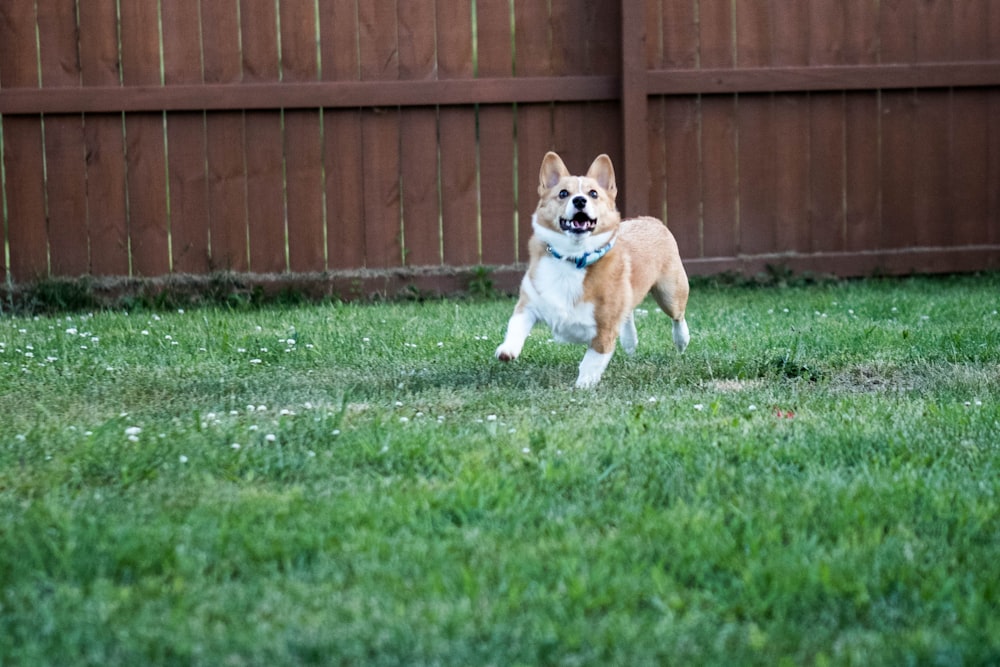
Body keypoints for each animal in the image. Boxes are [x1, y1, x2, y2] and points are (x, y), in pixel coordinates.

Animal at [492, 152, 688, 388]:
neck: (572, 258)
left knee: (678, 316)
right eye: (563, 193)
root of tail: (652, 219)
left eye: (593, 193)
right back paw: (630, 342)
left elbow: (591, 361)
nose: (579, 200)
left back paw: (682, 341)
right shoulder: (529, 303)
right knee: (629, 312)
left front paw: (582, 387)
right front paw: (507, 350)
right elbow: (516, 326)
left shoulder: (605, 329)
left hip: (670, 293)